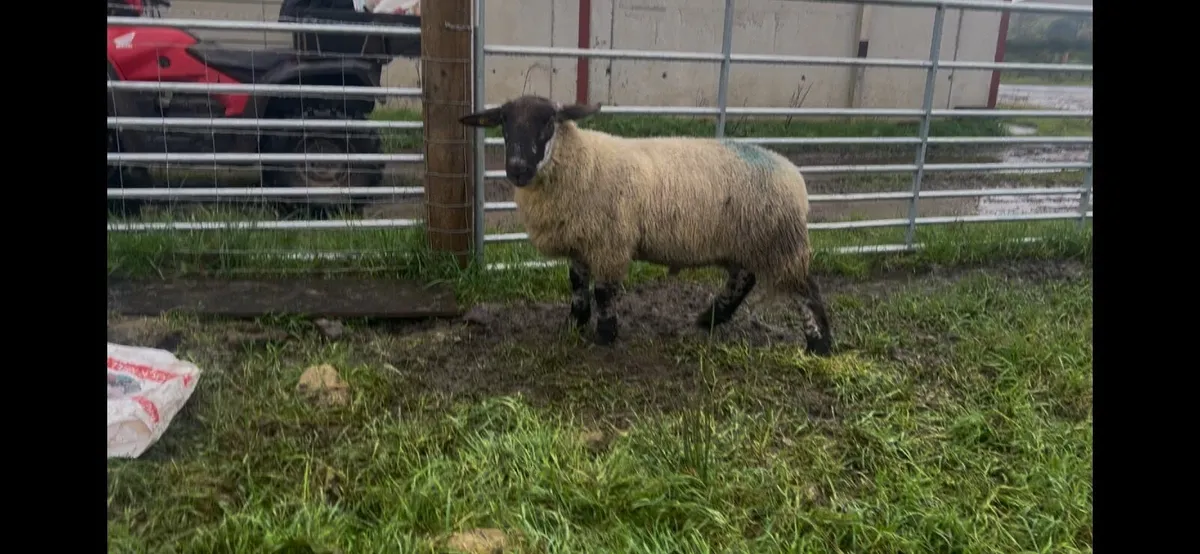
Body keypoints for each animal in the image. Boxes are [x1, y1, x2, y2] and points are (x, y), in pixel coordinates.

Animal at [459, 95, 833, 356]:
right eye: (503, 123)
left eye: (550, 120)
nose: (517, 168)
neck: (581, 162)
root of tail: (795, 177)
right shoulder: (582, 241)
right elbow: (577, 284)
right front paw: (574, 323)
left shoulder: (609, 241)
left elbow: (603, 291)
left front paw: (605, 334)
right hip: (745, 241)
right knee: (743, 279)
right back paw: (710, 318)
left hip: (780, 243)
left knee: (807, 291)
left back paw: (820, 345)